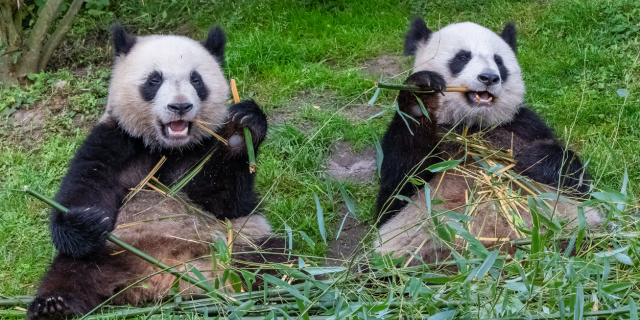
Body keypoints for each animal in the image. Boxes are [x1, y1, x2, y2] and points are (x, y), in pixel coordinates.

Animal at [27, 25, 288, 320]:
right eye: (154, 80)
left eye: (196, 80)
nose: (180, 106)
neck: (167, 147)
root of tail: (164, 277)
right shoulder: (112, 141)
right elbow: (83, 189)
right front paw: (86, 222)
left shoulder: (204, 148)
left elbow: (226, 202)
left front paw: (241, 131)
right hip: (111, 251)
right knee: (71, 270)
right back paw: (54, 306)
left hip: (238, 243)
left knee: (275, 260)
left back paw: (282, 288)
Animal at [372, 19, 604, 264]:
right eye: (462, 57)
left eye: (499, 61)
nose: (489, 78)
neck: (472, 124)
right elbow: (399, 181)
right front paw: (421, 95)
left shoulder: (523, 124)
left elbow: (576, 183)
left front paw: (533, 158)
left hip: (577, 234)